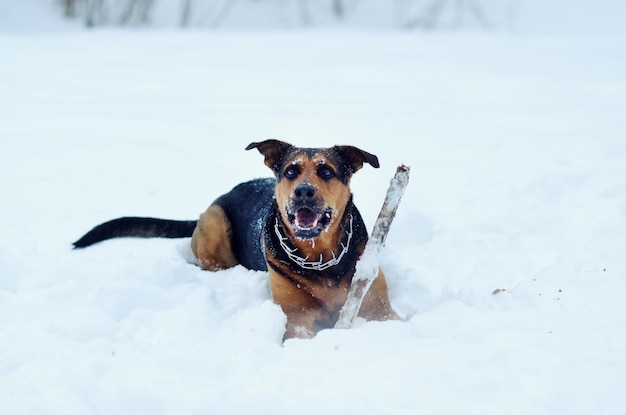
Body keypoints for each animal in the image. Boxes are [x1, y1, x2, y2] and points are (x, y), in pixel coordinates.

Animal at [73, 141, 394, 342]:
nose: (303, 191)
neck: (321, 258)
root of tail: (226, 194)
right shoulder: (295, 317)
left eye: (327, 171)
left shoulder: (378, 306)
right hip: (216, 225)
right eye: (291, 171)